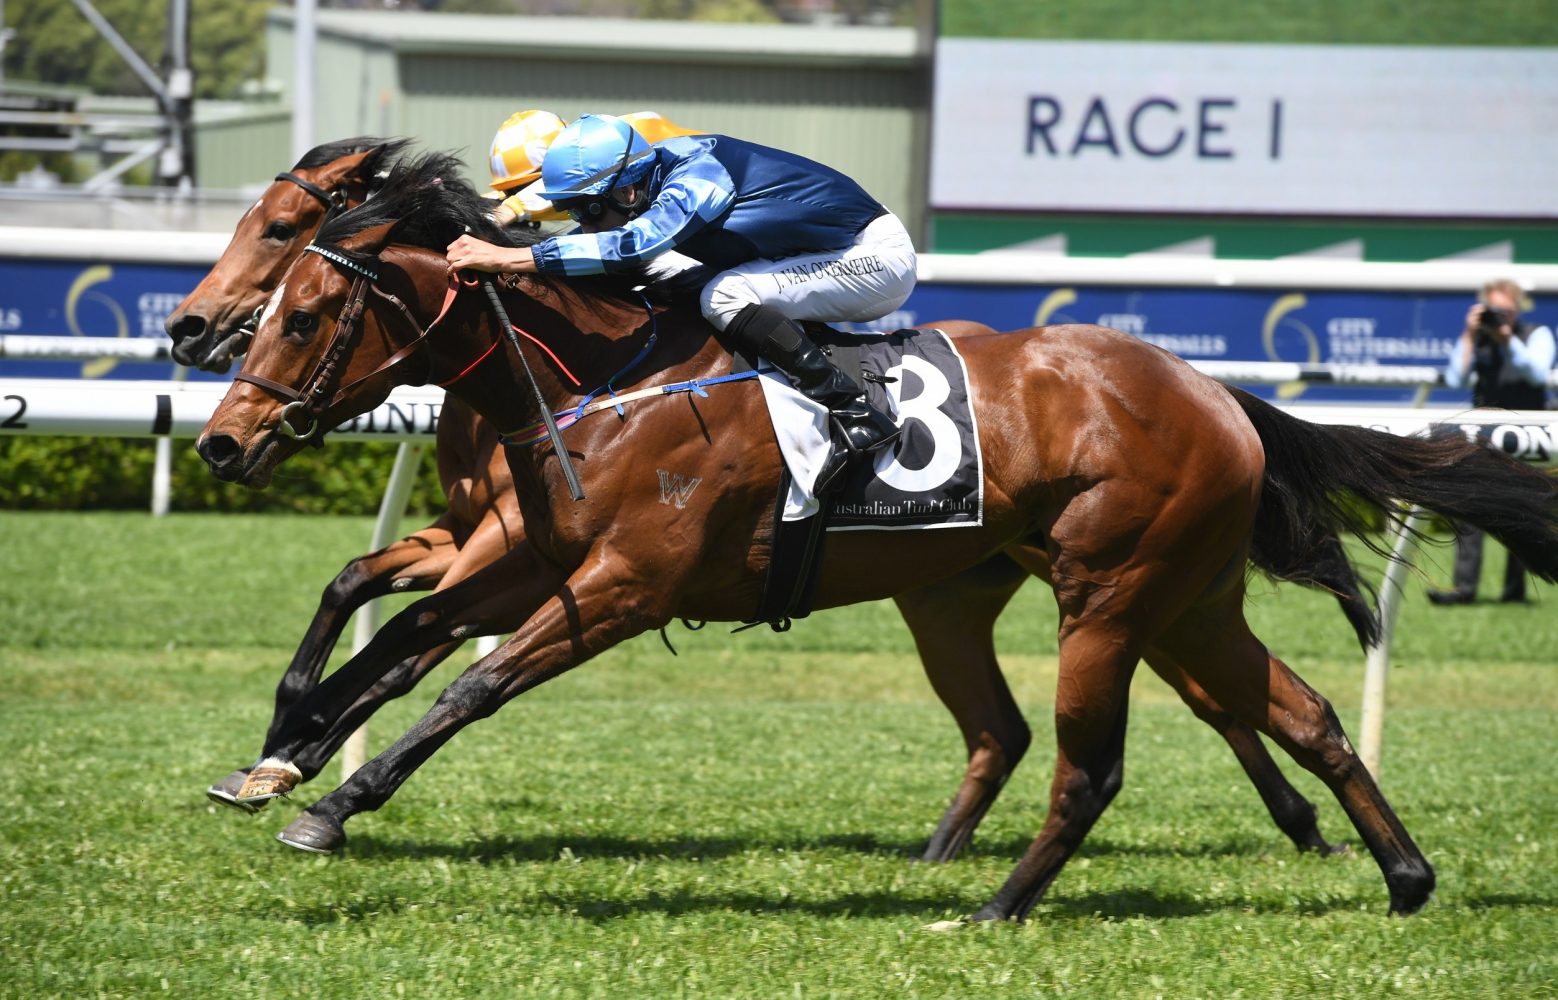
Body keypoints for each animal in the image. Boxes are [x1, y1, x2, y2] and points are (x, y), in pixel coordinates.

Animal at [199, 155, 1558, 921]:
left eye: (304, 307)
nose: (218, 434)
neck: (605, 373)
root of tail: (1215, 393)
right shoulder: (525, 551)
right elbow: (387, 619)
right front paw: (283, 752)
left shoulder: (625, 583)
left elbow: (464, 682)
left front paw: (334, 795)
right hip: (1156, 595)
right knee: (1292, 712)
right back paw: (1401, 876)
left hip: (1112, 594)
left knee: (1092, 761)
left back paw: (998, 905)